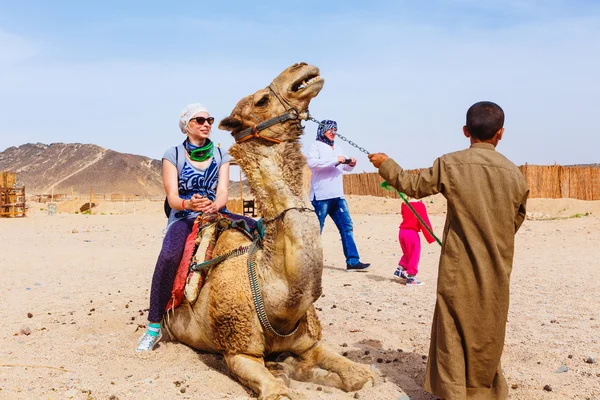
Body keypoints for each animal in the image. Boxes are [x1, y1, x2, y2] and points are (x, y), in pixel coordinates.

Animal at [166, 62, 372, 400]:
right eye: (262, 100)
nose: (301, 67)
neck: (276, 299)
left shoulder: (310, 340)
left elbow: (358, 375)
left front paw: (319, 371)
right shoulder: (239, 350)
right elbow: (277, 391)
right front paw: (285, 374)